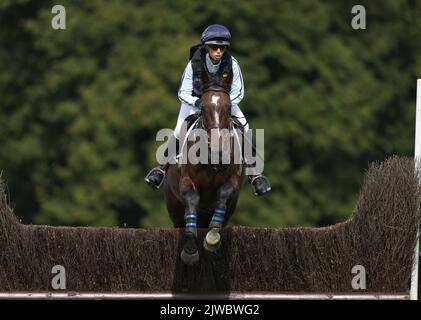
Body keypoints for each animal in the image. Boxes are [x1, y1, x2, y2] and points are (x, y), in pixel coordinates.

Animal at [162, 84, 244, 264]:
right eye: (204, 108)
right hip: (174, 206)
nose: (217, 150)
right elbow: (192, 199)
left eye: (228, 108)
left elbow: (223, 195)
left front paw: (212, 238)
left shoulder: (232, 180)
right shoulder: (186, 180)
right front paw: (190, 250)